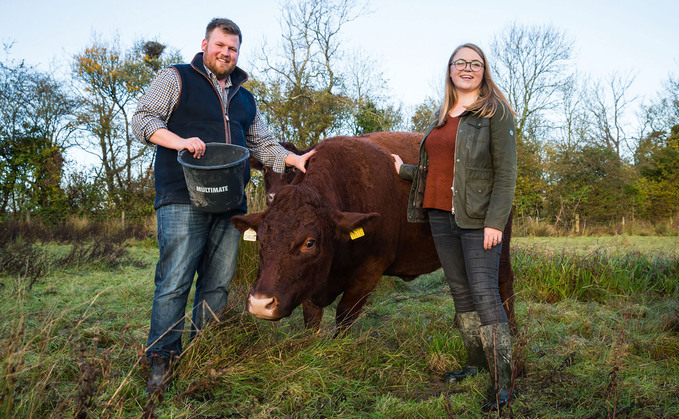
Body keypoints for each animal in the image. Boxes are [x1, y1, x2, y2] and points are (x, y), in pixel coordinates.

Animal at [234, 131, 516, 332]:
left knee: (503, 280)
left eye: (310, 243)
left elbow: (345, 313)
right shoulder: (310, 282)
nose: (260, 303)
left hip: (496, 242)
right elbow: (311, 317)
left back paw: (511, 329)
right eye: (261, 239)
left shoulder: (371, 268)